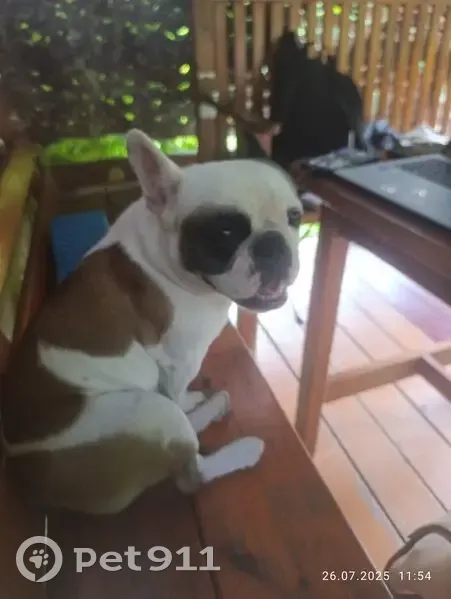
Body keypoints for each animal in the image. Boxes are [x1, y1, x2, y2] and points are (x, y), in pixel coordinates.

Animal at [1, 129, 302, 514]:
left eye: (295, 217)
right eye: (225, 233)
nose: (274, 244)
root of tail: (28, 477)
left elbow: (178, 393)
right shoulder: (179, 359)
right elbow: (176, 390)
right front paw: (189, 401)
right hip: (149, 415)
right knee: (191, 469)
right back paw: (240, 447)